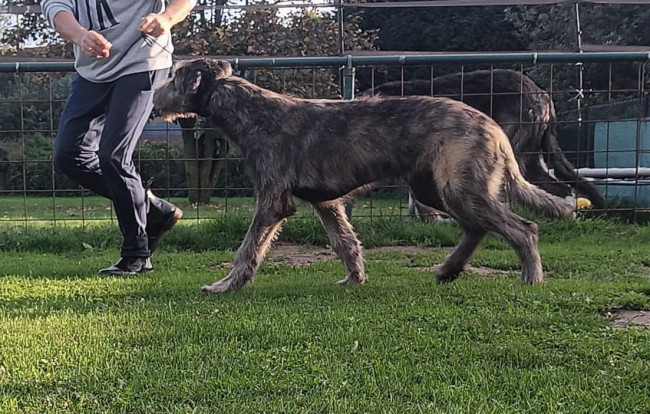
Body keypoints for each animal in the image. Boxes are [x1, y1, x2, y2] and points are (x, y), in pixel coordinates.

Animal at [153, 58, 572, 292]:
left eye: (173, 76)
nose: (154, 97)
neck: (252, 111)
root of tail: (494, 129)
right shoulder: (325, 202)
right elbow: (344, 242)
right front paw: (354, 278)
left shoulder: (273, 200)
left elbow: (249, 248)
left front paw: (226, 285)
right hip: (435, 189)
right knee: (477, 227)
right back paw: (449, 270)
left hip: (459, 188)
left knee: (522, 228)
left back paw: (530, 277)